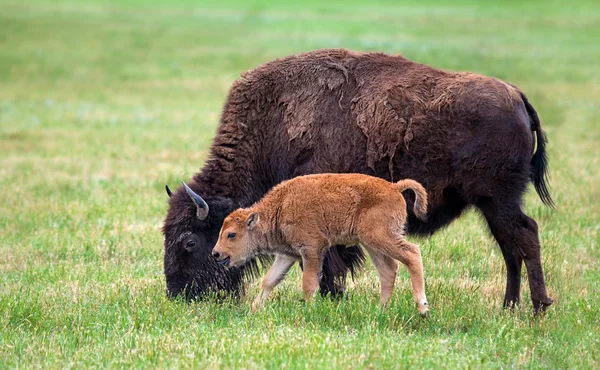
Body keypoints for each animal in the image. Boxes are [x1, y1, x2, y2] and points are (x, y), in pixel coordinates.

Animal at [211, 173, 432, 316]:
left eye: (231, 234)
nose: (216, 254)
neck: (281, 206)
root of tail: (394, 187)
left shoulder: (311, 250)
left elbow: (309, 283)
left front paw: (310, 311)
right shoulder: (288, 254)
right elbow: (269, 280)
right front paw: (254, 310)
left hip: (382, 238)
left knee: (412, 254)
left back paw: (423, 308)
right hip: (372, 245)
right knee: (388, 270)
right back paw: (381, 310)